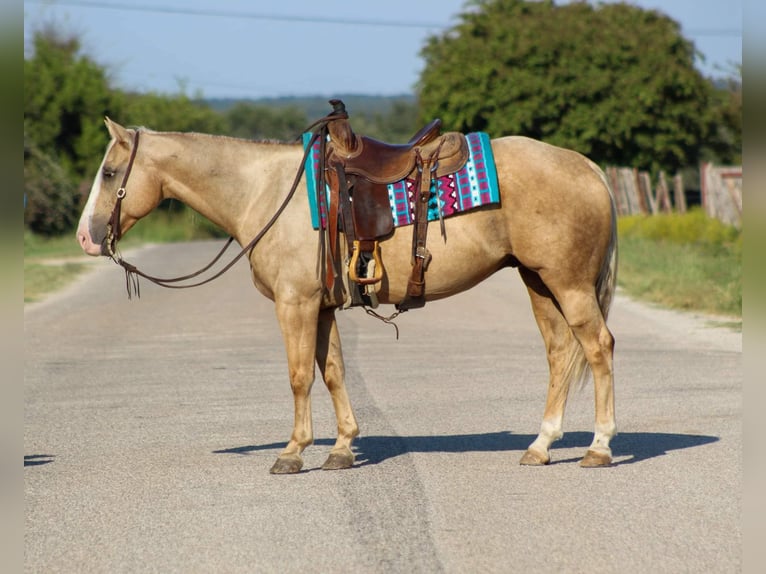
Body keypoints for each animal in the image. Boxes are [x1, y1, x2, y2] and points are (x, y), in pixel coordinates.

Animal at [76, 114, 618, 474]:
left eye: (109, 173)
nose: (86, 236)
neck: (267, 193)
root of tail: (589, 168)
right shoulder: (321, 307)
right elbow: (333, 370)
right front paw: (340, 448)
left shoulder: (295, 303)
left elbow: (299, 376)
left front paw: (292, 452)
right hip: (539, 282)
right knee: (559, 353)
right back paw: (541, 446)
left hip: (568, 284)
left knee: (598, 348)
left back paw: (599, 447)